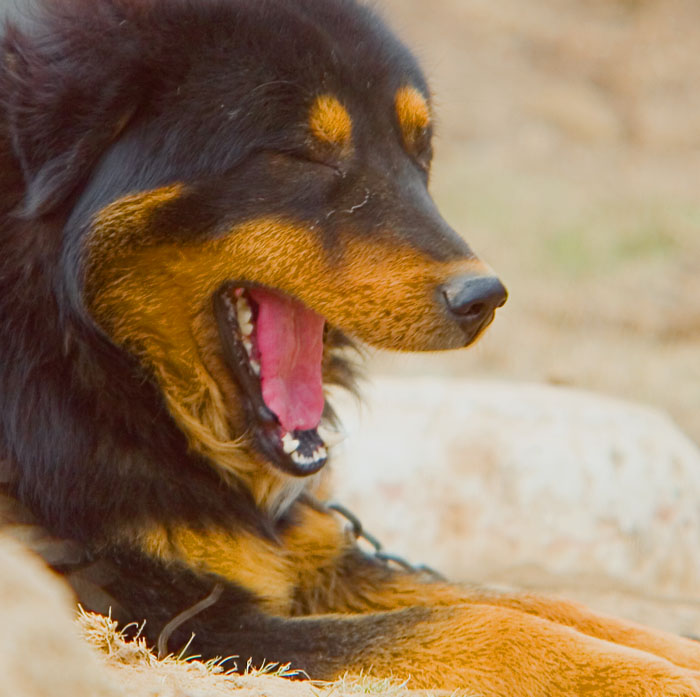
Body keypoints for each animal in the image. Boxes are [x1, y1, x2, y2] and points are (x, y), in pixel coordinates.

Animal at [1, 1, 700, 692]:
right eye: (304, 154)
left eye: (420, 150)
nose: (484, 297)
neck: (86, 358)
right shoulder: (168, 617)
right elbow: (488, 626)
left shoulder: (313, 558)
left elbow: (538, 602)